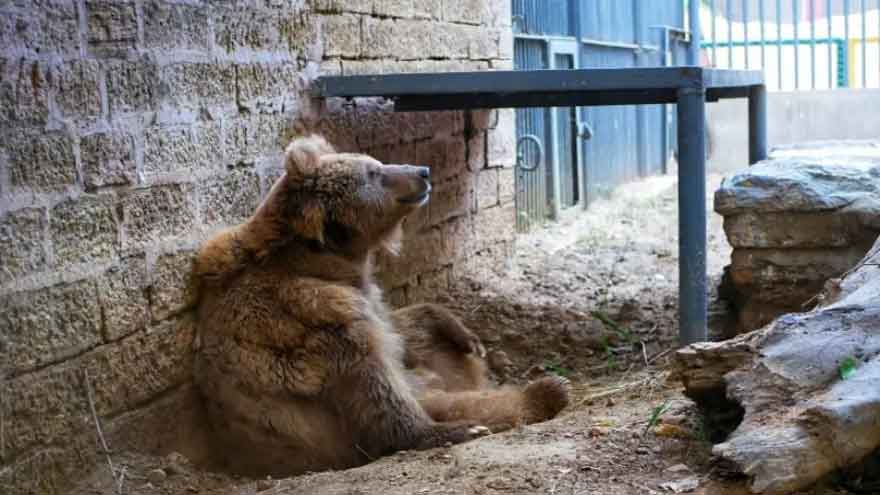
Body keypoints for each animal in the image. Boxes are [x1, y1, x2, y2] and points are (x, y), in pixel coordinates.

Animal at [193, 135, 569, 476]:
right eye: (373, 172)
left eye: (376, 163)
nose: (423, 170)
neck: (324, 260)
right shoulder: (316, 315)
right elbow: (376, 390)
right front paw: (456, 429)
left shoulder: (363, 297)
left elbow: (399, 323)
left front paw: (466, 334)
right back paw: (545, 391)